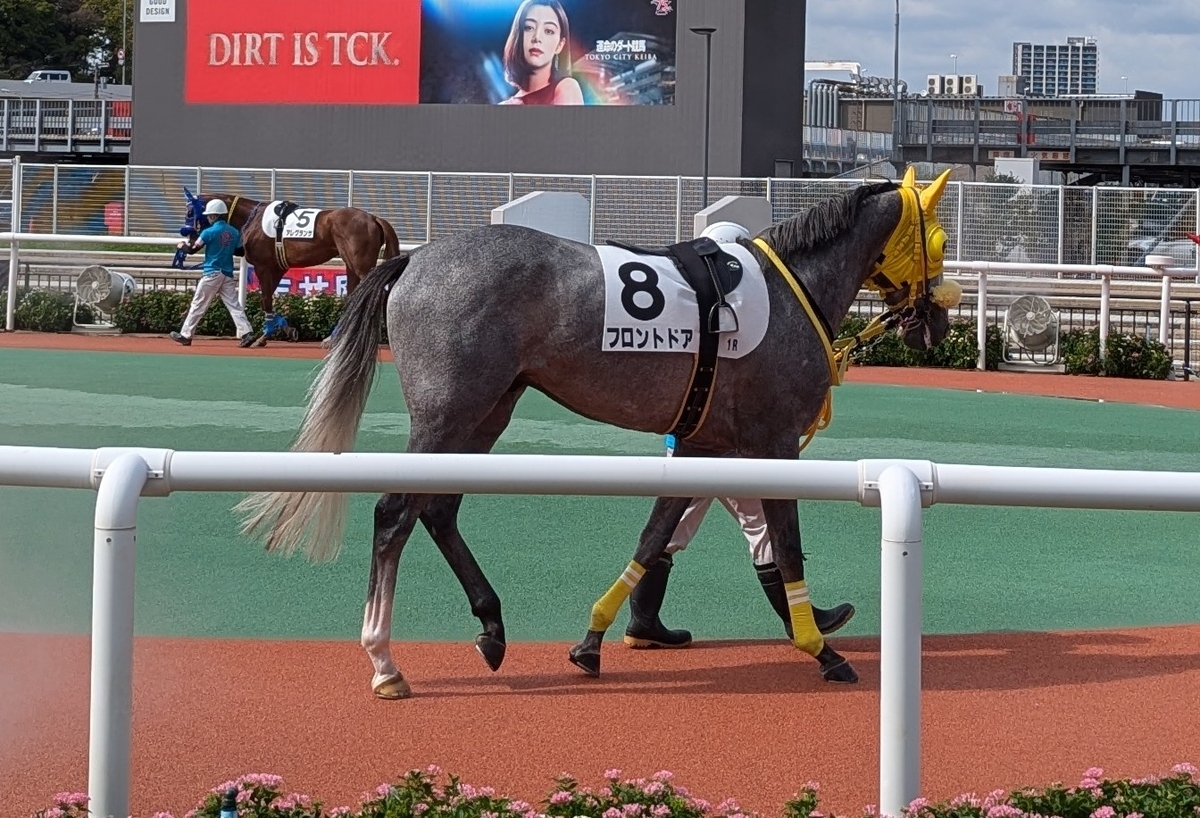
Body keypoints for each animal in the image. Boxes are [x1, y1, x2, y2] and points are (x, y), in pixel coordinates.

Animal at [174, 188, 402, 344]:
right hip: (351, 265)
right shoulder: (277, 267)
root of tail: (374, 218)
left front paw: (264, 336)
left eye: (189, 213)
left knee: (381, 293)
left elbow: (265, 299)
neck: (252, 219)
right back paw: (335, 336)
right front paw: (285, 328)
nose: (189, 239)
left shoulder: (263, 266)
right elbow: (270, 298)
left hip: (361, 264)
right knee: (355, 296)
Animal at [234, 168, 962, 699]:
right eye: (940, 242)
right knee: (394, 513)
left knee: (438, 509)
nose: (935, 324)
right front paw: (822, 647)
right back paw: (385, 661)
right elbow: (784, 545)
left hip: (488, 409)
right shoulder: (774, 440)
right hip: (448, 411)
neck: (790, 289)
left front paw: (593, 640)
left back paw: (492, 626)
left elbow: (656, 533)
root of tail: (412, 262)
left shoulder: (701, 443)